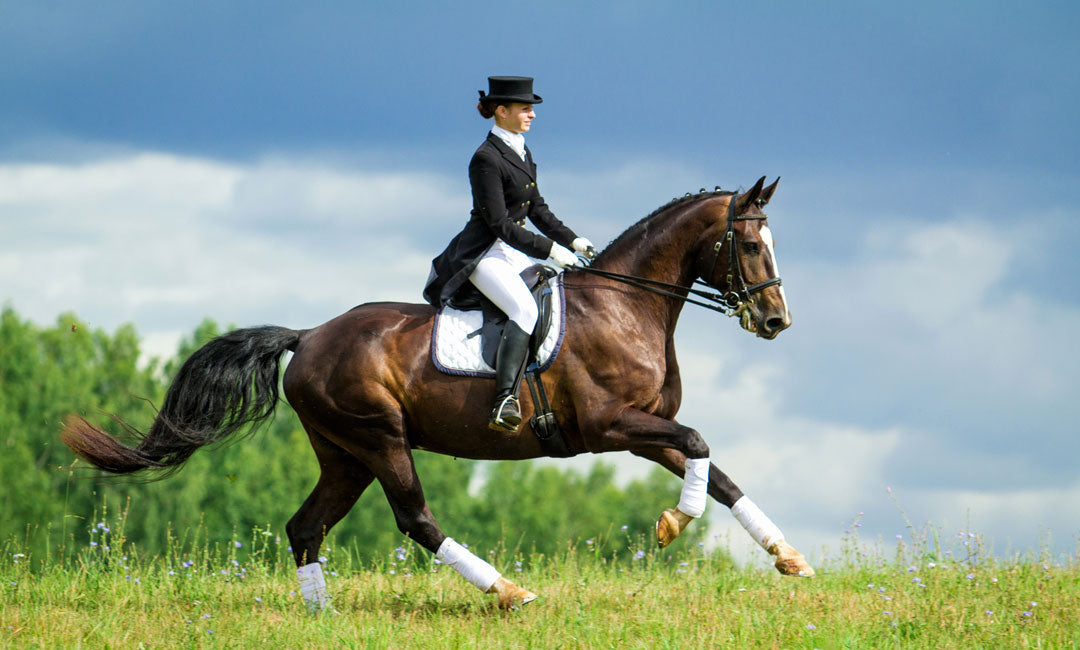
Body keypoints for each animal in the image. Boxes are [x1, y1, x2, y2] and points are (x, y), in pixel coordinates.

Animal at [61, 175, 815, 611]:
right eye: (751, 246)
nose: (776, 321)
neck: (628, 305)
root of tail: (309, 336)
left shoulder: (645, 427)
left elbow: (716, 472)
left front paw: (787, 557)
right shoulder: (612, 426)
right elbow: (700, 447)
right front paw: (670, 525)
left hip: (345, 454)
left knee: (306, 528)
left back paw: (320, 615)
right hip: (379, 438)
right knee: (415, 519)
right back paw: (507, 590)